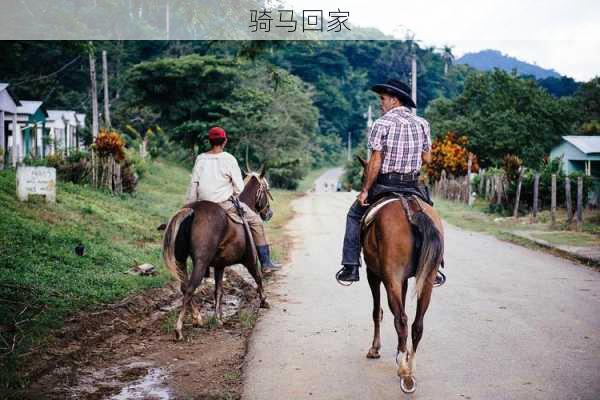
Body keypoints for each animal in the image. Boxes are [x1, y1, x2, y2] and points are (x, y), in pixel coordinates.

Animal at [161, 167, 270, 340]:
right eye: (266, 189)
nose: (269, 213)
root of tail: (192, 210)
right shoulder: (250, 260)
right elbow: (258, 277)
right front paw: (264, 300)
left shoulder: (220, 266)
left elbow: (218, 291)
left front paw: (218, 318)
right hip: (201, 262)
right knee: (190, 288)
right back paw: (179, 328)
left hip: (180, 260)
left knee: (184, 287)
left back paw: (197, 318)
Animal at [356, 157, 446, 394]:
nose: (362, 195)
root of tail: (412, 210)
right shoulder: (403, 279)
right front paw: (400, 352)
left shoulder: (373, 274)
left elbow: (376, 312)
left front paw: (375, 349)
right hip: (427, 278)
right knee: (417, 323)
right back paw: (410, 367)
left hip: (391, 278)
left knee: (401, 319)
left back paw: (404, 371)